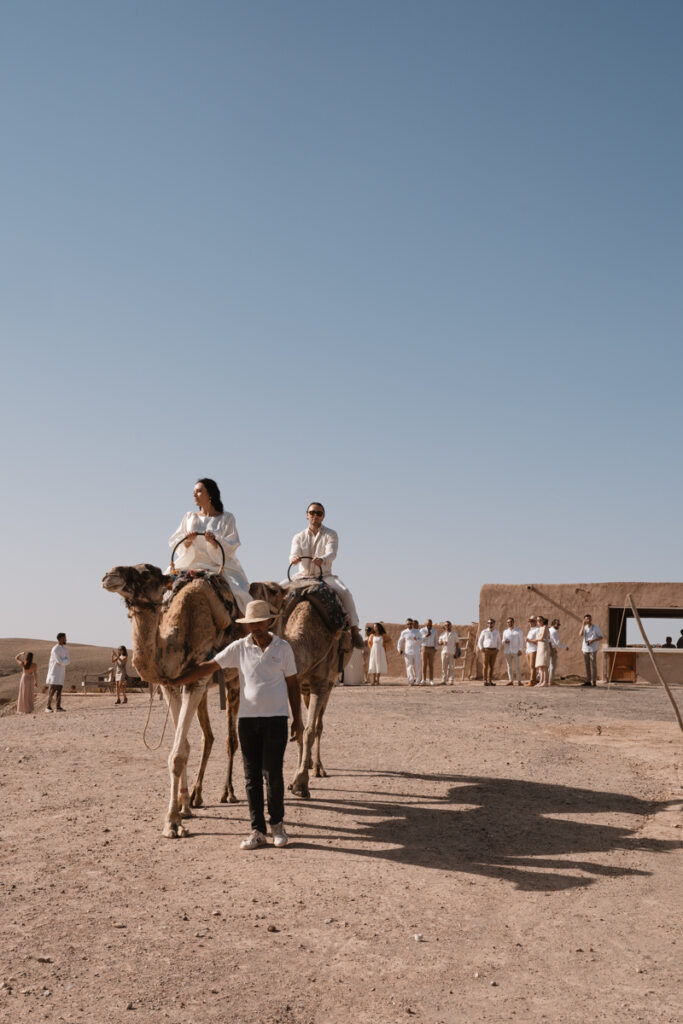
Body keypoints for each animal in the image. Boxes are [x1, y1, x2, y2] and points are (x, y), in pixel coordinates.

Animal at [100, 565, 241, 835]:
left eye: (146, 572)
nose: (108, 575)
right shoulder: (172, 686)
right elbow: (183, 746)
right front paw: (184, 808)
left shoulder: (197, 681)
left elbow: (177, 755)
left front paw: (172, 822)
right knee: (208, 737)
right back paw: (197, 795)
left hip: (235, 679)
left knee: (233, 738)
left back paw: (230, 792)